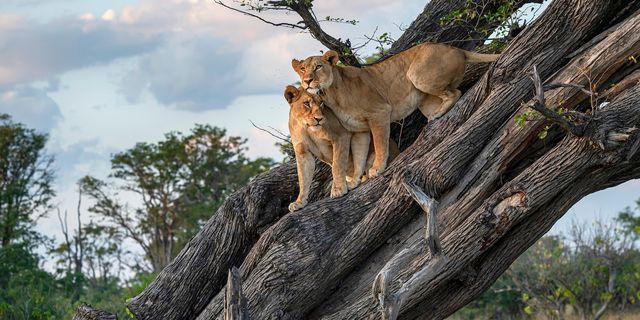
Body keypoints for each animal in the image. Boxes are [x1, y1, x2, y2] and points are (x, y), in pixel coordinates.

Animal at [292, 40, 500, 178]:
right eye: (302, 69)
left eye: (318, 67)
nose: (307, 81)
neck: (330, 95)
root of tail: (457, 49)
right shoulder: (358, 129)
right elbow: (359, 154)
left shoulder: (379, 112)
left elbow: (380, 144)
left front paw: (377, 168)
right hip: (423, 99)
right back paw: (437, 113)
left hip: (417, 74)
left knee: (455, 92)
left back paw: (439, 113)